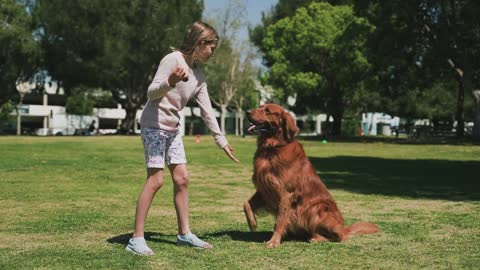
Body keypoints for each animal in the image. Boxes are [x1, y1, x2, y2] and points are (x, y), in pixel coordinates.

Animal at [246, 104, 380, 248]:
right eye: (260, 106)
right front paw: (252, 223)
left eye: (267, 110)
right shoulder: (265, 188)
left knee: (338, 236)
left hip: (317, 208)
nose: (247, 111)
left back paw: (317, 238)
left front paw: (274, 241)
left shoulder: (285, 194)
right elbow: (246, 204)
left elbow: (279, 220)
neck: (273, 148)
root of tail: (344, 228)